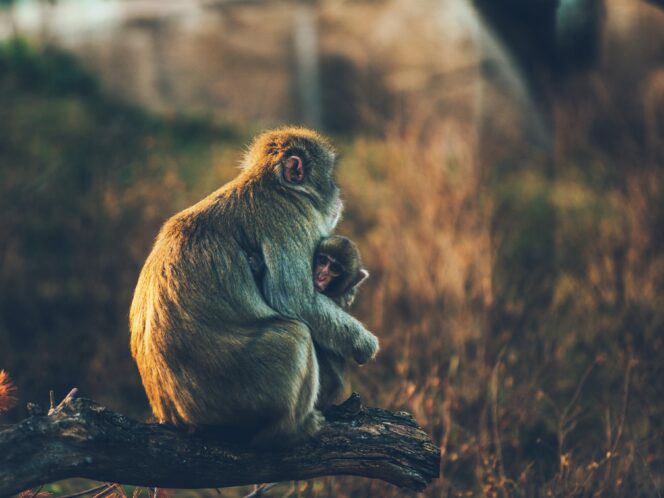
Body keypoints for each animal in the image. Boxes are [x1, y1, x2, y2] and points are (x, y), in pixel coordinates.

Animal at [130, 127, 378, 444]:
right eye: (330, 177)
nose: (338, 197)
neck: (274, 186)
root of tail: (178, 417)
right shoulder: (288, 219)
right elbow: (295, 301)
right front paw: (364, 344)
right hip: (241, 394)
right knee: (296, 334)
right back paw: (291, 429)